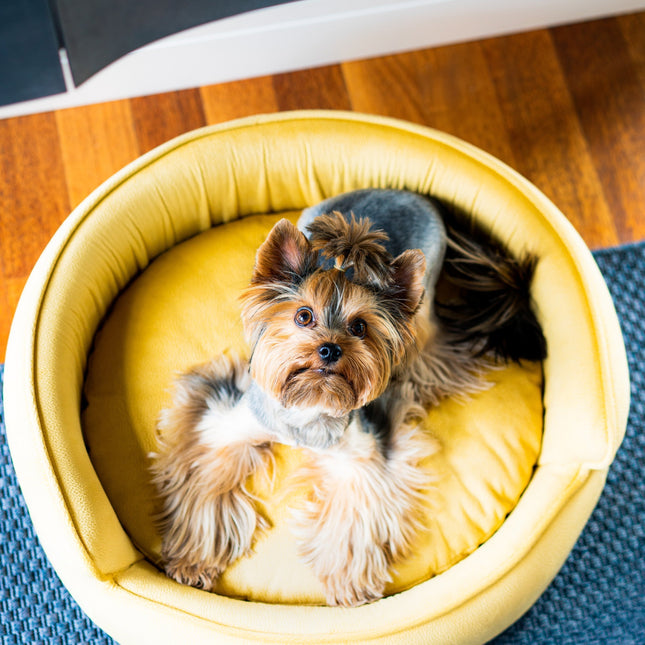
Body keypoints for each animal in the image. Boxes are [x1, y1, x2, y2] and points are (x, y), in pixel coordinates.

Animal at [150, 189, 544, 608]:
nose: (329, 349)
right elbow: (206, 481)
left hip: (423, 311)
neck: (309, 403)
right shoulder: (227, 424)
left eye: (359, 327)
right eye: (303, 316)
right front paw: (192, 559)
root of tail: (415, 197)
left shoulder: (359, 455)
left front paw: (348, 584)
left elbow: (354, 514)